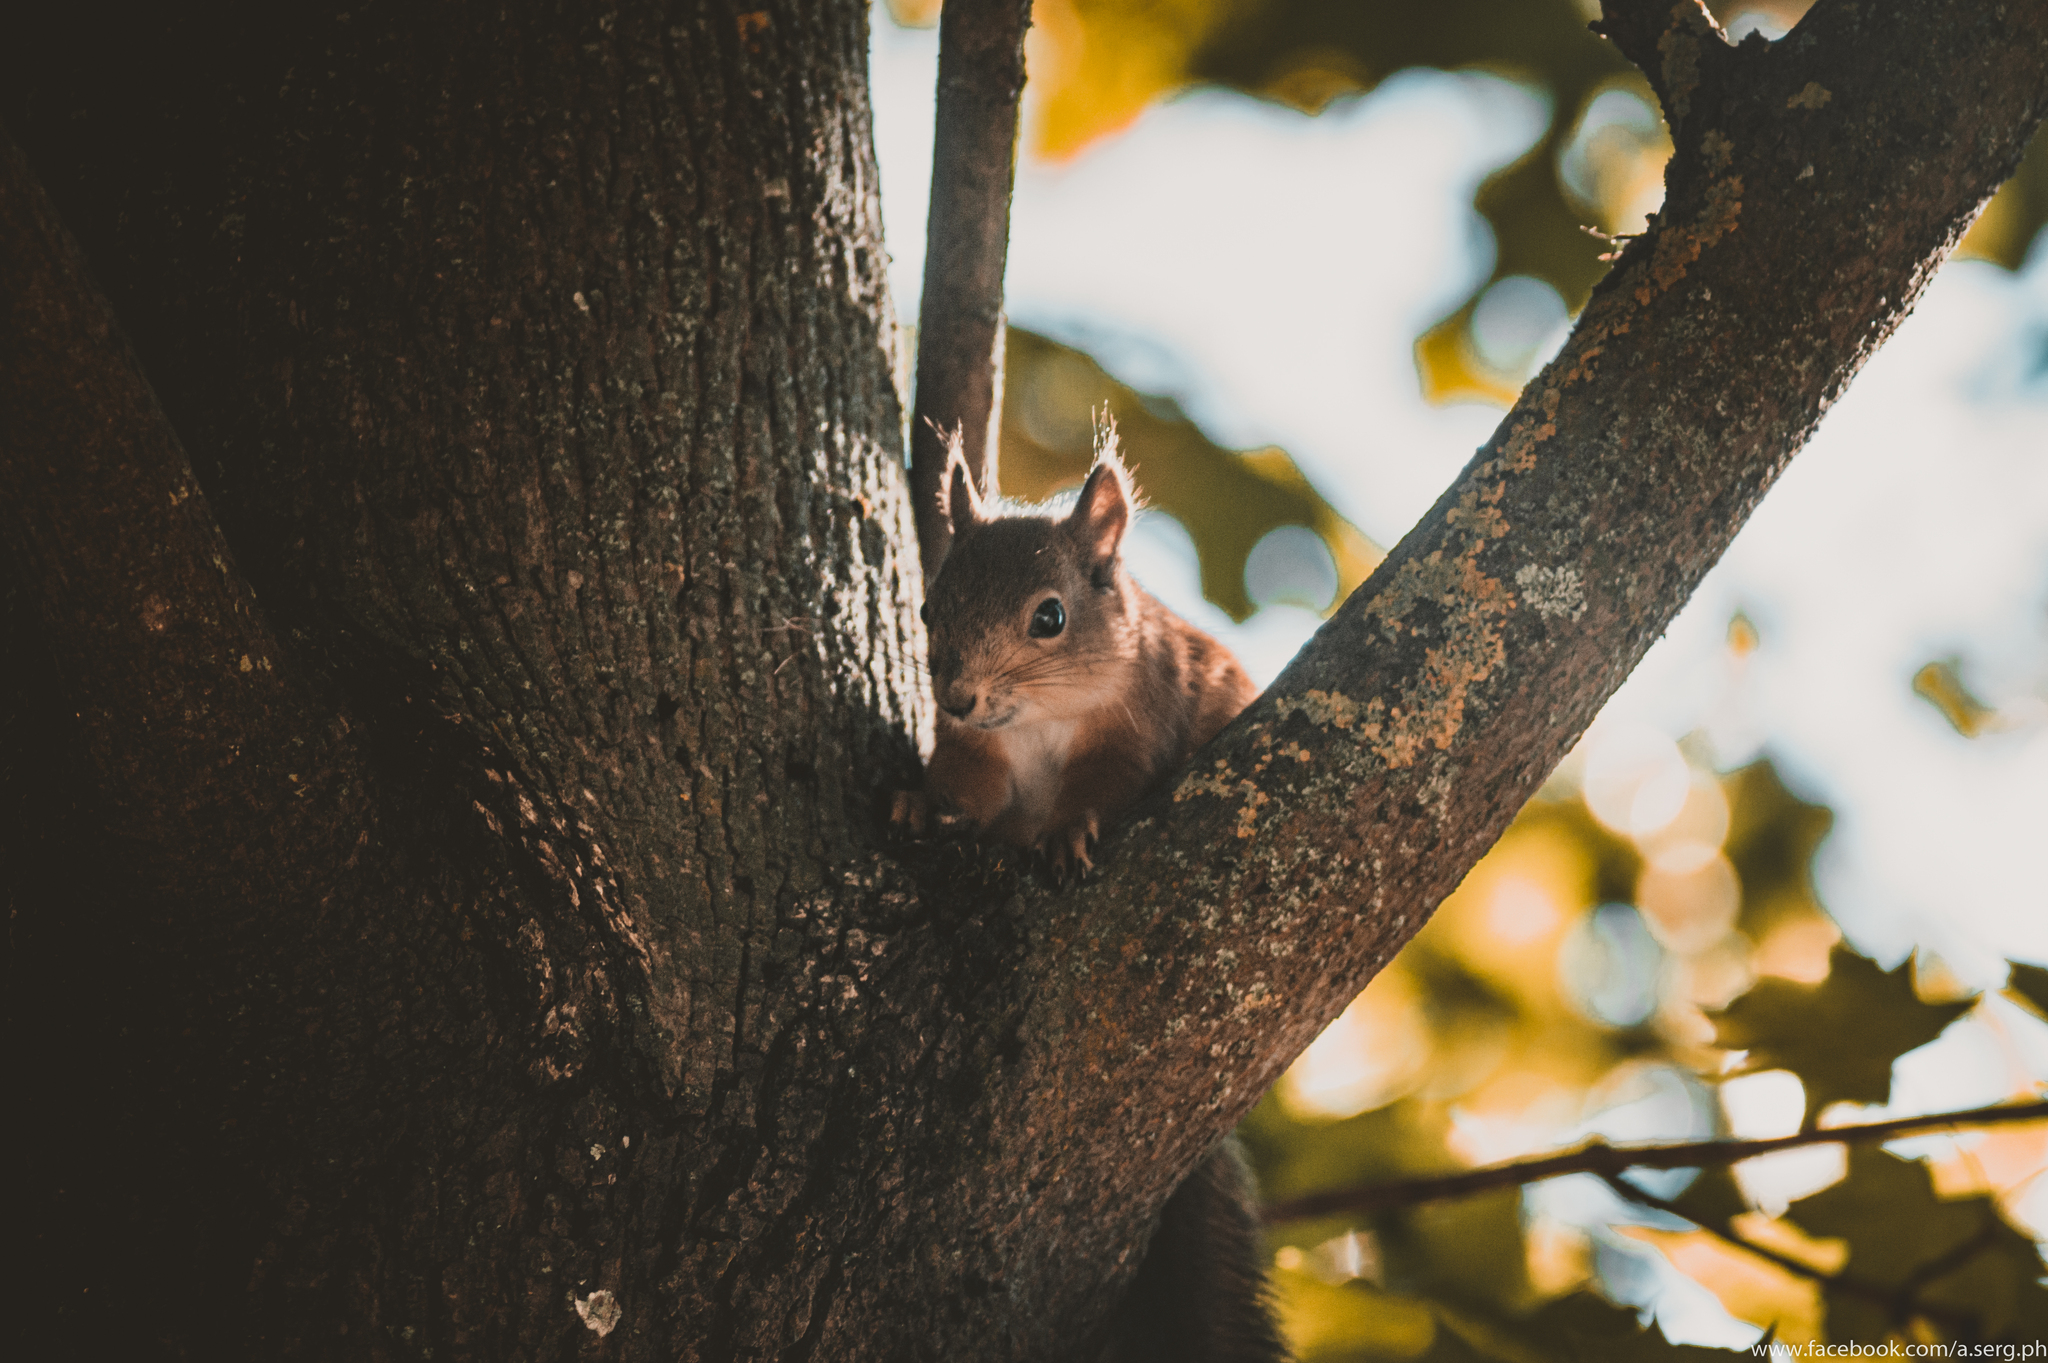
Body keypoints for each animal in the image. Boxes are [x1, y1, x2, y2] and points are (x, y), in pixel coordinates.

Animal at [892, 425, 1277, 1358]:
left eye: (1050, 616)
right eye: (927, 611)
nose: (957, 694)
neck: (1035, 723)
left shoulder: (1136, 726)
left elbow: (1102, 789)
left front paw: (1066, 837)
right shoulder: (975, 756)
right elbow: (964, 789)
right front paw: (920, 801)